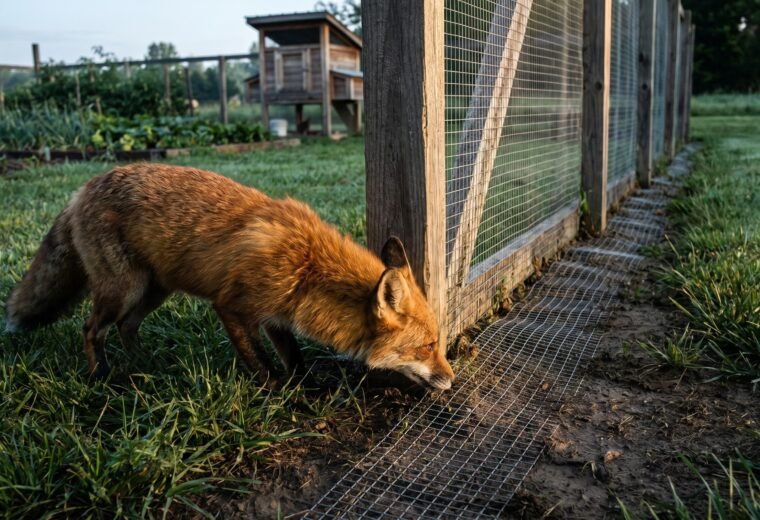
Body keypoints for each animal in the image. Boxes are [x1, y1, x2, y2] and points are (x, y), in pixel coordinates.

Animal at [5, 164, 455, 391]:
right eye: (429, 346)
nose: (452, 379)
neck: (307, 266)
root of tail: (81, 189)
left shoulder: (277, 316)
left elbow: (295, 357)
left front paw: (304, 386)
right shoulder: (232, 307)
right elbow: (260, 362)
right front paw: (277, 394)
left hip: (153, 291)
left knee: (126, 327)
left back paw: (142, 362)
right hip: (123, 289)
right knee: (91, 328)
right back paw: (100, 375)